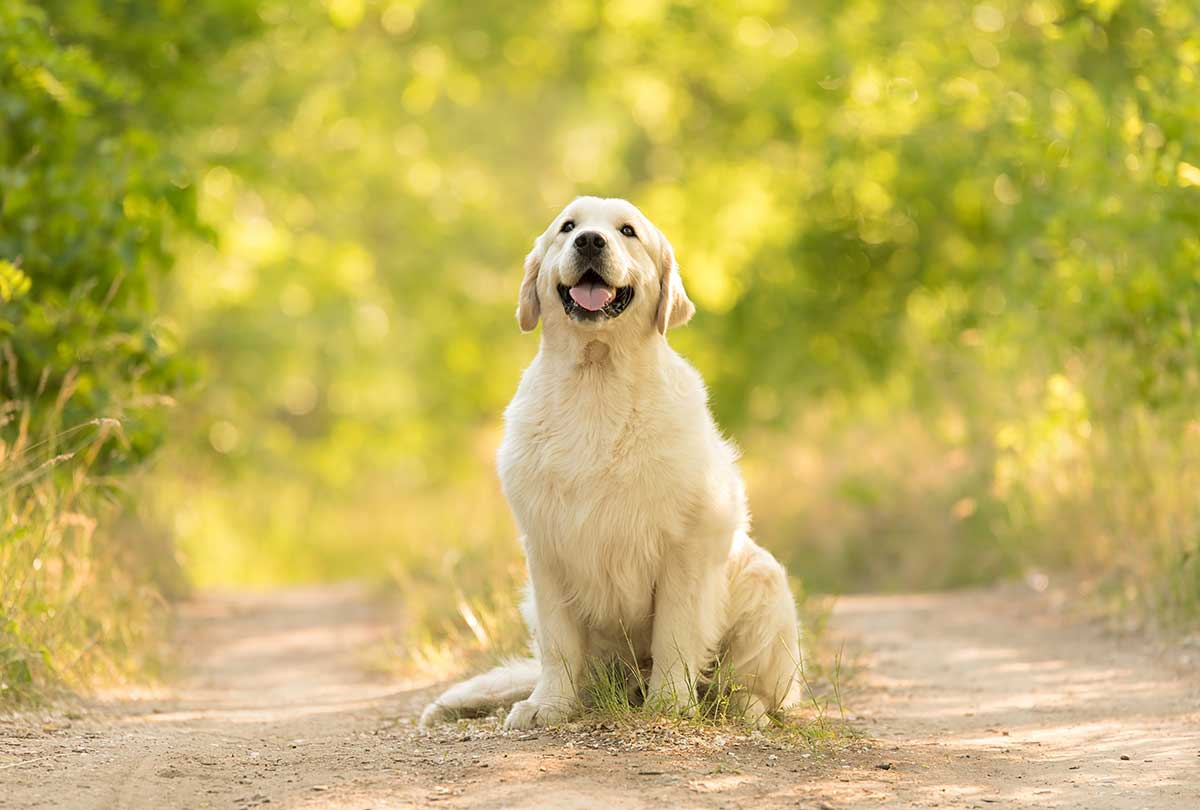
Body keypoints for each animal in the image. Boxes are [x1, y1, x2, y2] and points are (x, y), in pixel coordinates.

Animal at [417, 196, 801, 729]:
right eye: (568, 227)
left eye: (627, 231)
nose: (590, 241)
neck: (596, 380)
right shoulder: (546, 550)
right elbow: (559, 645)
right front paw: (547, 706)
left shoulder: (684, 547)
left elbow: (675, 635)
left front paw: (669, 704)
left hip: (765, 582)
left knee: (750, 686)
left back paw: (746, 711)